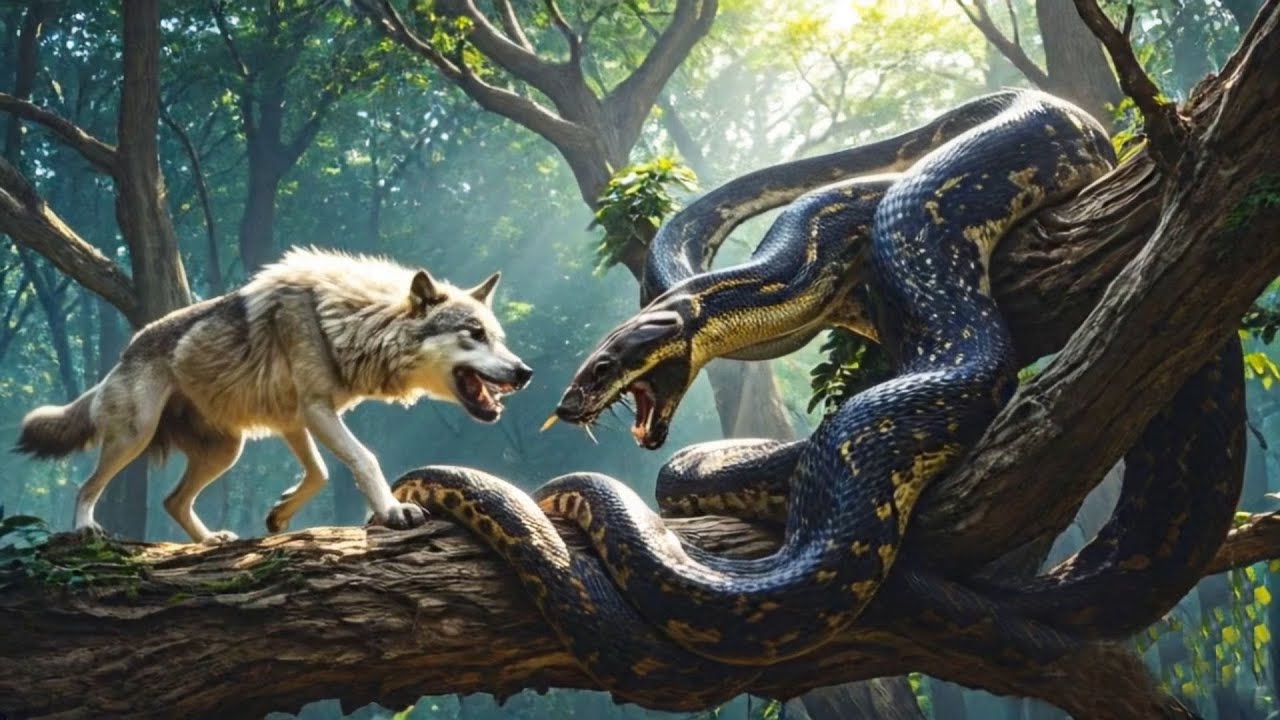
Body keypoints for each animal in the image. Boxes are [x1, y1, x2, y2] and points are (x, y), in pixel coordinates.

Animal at [14, 246, 533, 544]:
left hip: (227, 450)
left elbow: (320, 473)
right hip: (135, 437)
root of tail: (123, 353)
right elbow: (363, 459)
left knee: (172, 502)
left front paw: (281, 513)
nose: (524, 372)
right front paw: (391, 511)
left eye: (498, 337)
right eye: (474, 334)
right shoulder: (314, 411)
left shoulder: (295, 419)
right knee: (86, 487)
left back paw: (210, 540)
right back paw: (85, 529)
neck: (348, 323)